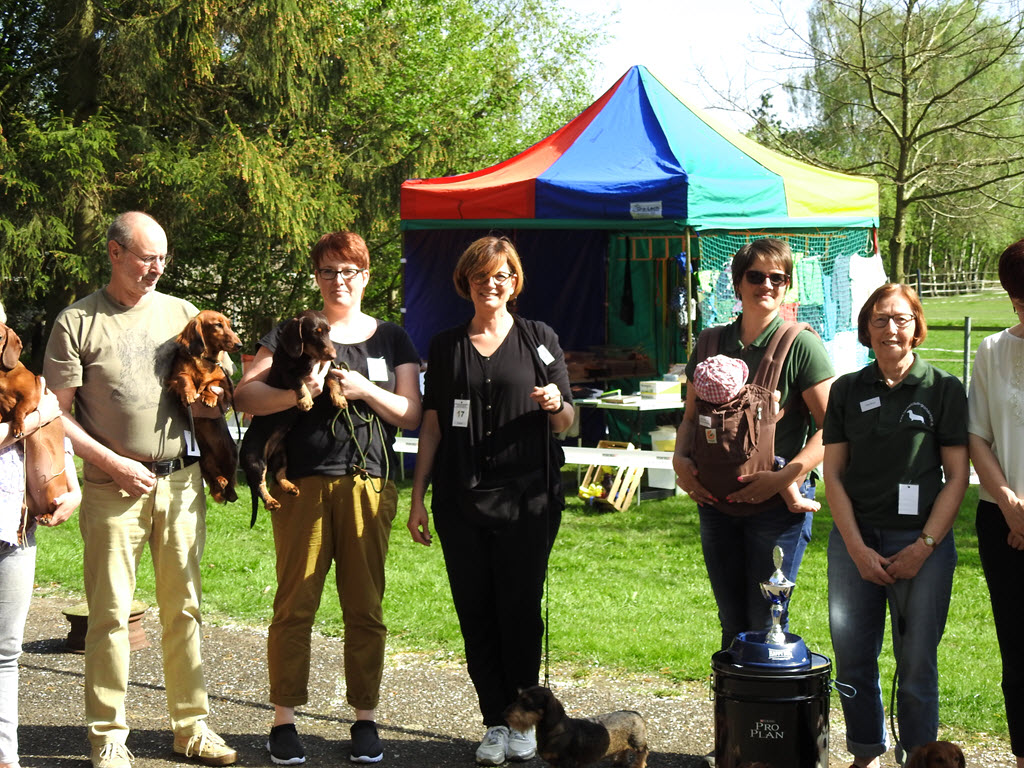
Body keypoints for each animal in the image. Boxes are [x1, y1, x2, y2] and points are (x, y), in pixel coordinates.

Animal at [0, 321, 69, 523]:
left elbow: (19, 410)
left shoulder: (30, 396)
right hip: (26, 504)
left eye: (0, 336)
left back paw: (47, 515)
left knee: (52, 509)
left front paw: (18, 428)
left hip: (52, 492)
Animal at [166, 310, 243, 503]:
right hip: (204, 460)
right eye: (218, 325)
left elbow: (212, 383)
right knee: (214, 476)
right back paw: (220, 482)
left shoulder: (225, 383)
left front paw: (209, 397)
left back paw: (229, 490)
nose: (240, 345)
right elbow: (184, 377)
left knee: (231, 482)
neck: (204, 358)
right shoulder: (175, 376)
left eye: (229, 324)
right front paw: (189, 393)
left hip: (231, 454)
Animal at [240, 310, 346, 525]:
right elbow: (299, 381)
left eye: (329, 331)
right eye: (315, 332)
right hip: (254, 459)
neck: (307, 357)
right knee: (259, 484)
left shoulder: (325, 370)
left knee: (278, 474)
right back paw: (271, 502)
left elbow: (333, 379)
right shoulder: (286, 373)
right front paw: (305, 400)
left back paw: (290, 487)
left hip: (281, 455)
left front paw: (339, 399)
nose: (333, 355)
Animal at [504, 685, 649, 768]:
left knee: (643, 753)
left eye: (527, 702)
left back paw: (638, 765)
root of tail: (635, 713)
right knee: (624, 750)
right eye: (518, 698)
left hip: (637, 743)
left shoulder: (566, 762)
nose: (504, 714)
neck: (553, 730)